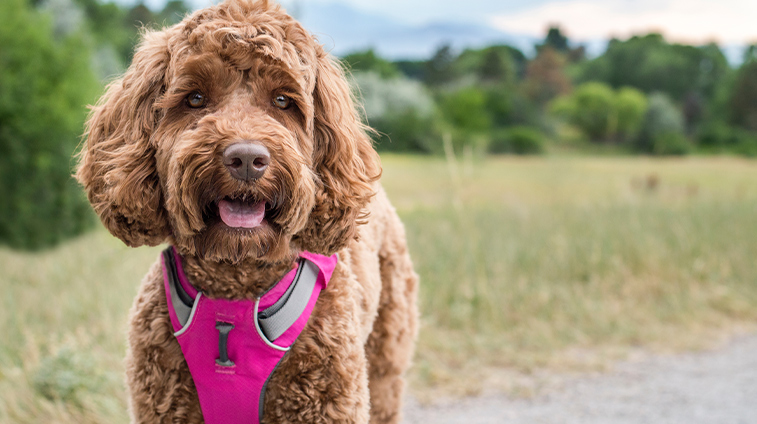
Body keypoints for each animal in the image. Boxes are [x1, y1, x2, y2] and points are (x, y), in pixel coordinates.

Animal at [75, 1, 420, 422]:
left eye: (283, 100)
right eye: (195, 98)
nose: (246, 159)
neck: (235, 287)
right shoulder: (163, 401)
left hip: (386, 357)